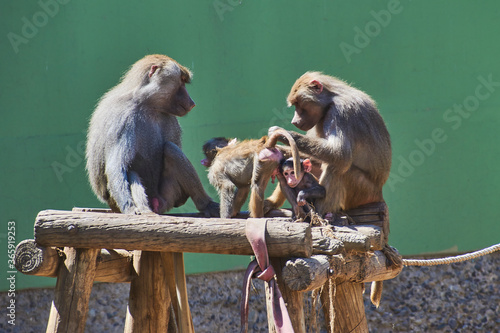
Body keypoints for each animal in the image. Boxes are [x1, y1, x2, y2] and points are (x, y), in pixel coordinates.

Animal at [85, 53, 217, 215]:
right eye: (181, 80)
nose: (192, 103)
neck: (146, 104)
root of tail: (156, 202)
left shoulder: (169, 117)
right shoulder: (122, 119)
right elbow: (116, 166)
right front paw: (130, 207)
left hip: (168, 195)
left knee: (171, 149)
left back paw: (207, 205)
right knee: (131, 170)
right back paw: (145, 210)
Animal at [274, 72, 394, 306]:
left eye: (299, 105)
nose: (294, 121)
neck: (331, 99)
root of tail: (380, 192)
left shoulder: (340, 113)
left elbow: (339, 155)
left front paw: (284, 135)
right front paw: (282, 151)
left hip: (362, 190)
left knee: (340, 167)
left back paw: (322, 216)